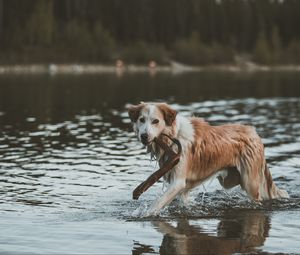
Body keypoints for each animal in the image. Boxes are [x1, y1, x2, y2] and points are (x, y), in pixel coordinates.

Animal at [127, 101, 288, 215]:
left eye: (155, 121)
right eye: (141, 120)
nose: (144, 136)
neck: (173, 136)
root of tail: (254, 133)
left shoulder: (178, 182)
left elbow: (157, 203)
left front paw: (144, 214)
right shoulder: (181, 187)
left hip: (251, 183)